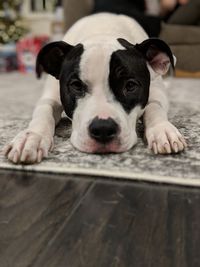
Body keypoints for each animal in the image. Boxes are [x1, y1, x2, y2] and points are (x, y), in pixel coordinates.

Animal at [3, 13, 188, 165]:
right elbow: (43, 112)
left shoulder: (156, 93)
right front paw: (31, 138)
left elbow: (154, 107)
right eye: (76, 85)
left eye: (130, 86)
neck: (103, 32)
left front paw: (162, 129)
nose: (103, 129)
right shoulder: (50, 97)